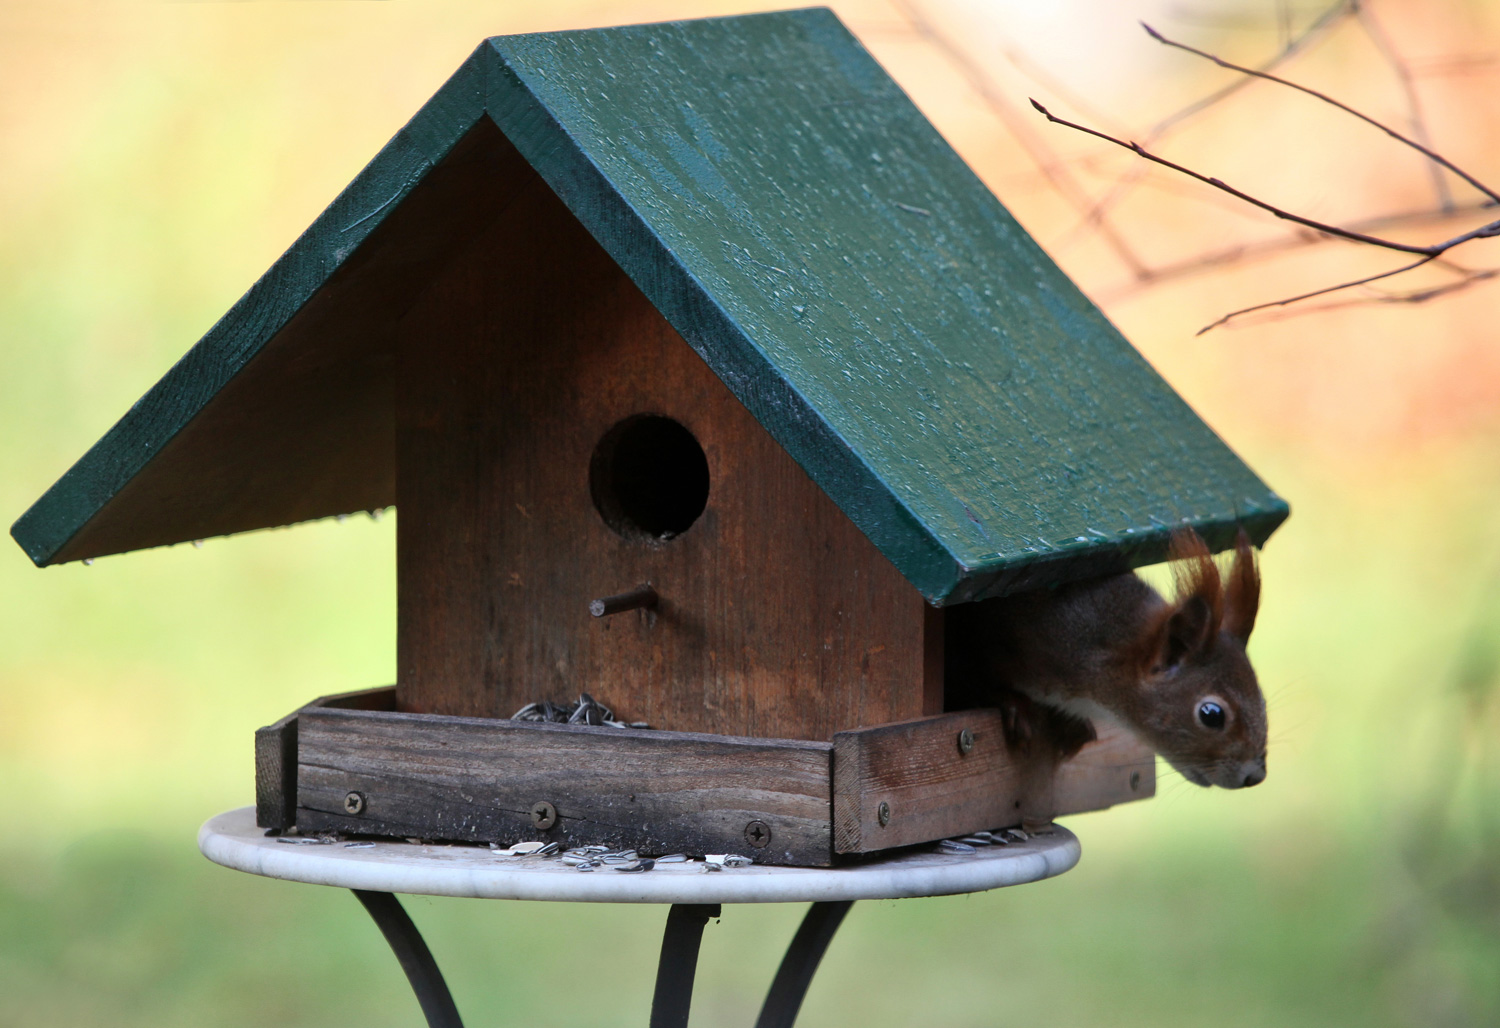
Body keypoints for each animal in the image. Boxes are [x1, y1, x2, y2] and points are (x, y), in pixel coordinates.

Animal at [948, 525, 1266, 792]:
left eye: (1262, 700)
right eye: (1211, 715)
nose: (1255, 776)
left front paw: (1072, 725)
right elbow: (971, 675)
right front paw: (1013, 705)